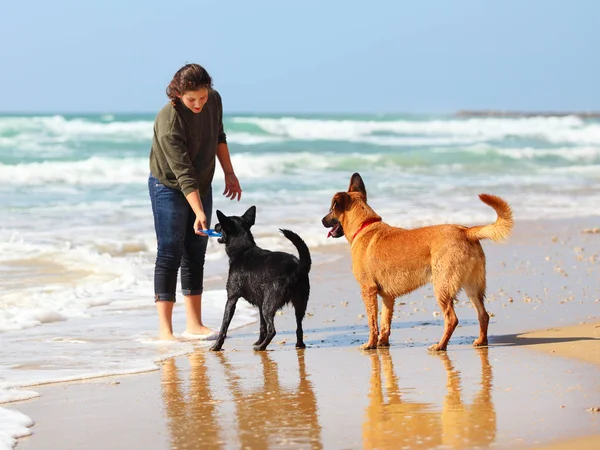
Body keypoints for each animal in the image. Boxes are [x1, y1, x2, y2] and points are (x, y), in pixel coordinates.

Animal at [210, 207, 312, 352]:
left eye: (221, 225)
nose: (215, 225)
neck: (242, 249)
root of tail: (298, 267)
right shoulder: (259, 302)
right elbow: (261, 326)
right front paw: (258, 340)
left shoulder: (231, 299)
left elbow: (224, 326)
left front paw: (217, 346)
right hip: (299, 303)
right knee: (299, 327)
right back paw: (298, 344)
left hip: (268, 305)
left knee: (272, 330)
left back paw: (261, 347)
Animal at [322, 172, 512, 352]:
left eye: (332, 209)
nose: (322, 220)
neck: (365, 225)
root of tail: (465, 231)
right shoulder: (387, 296)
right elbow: (384, 324)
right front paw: (382, 344)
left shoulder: (368, 290)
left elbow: (372, 323)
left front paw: (370, 344)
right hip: (472, 287)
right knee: (483, 315)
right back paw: (481, 341)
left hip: (442, 287)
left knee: (452, 319)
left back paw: (440, 345)